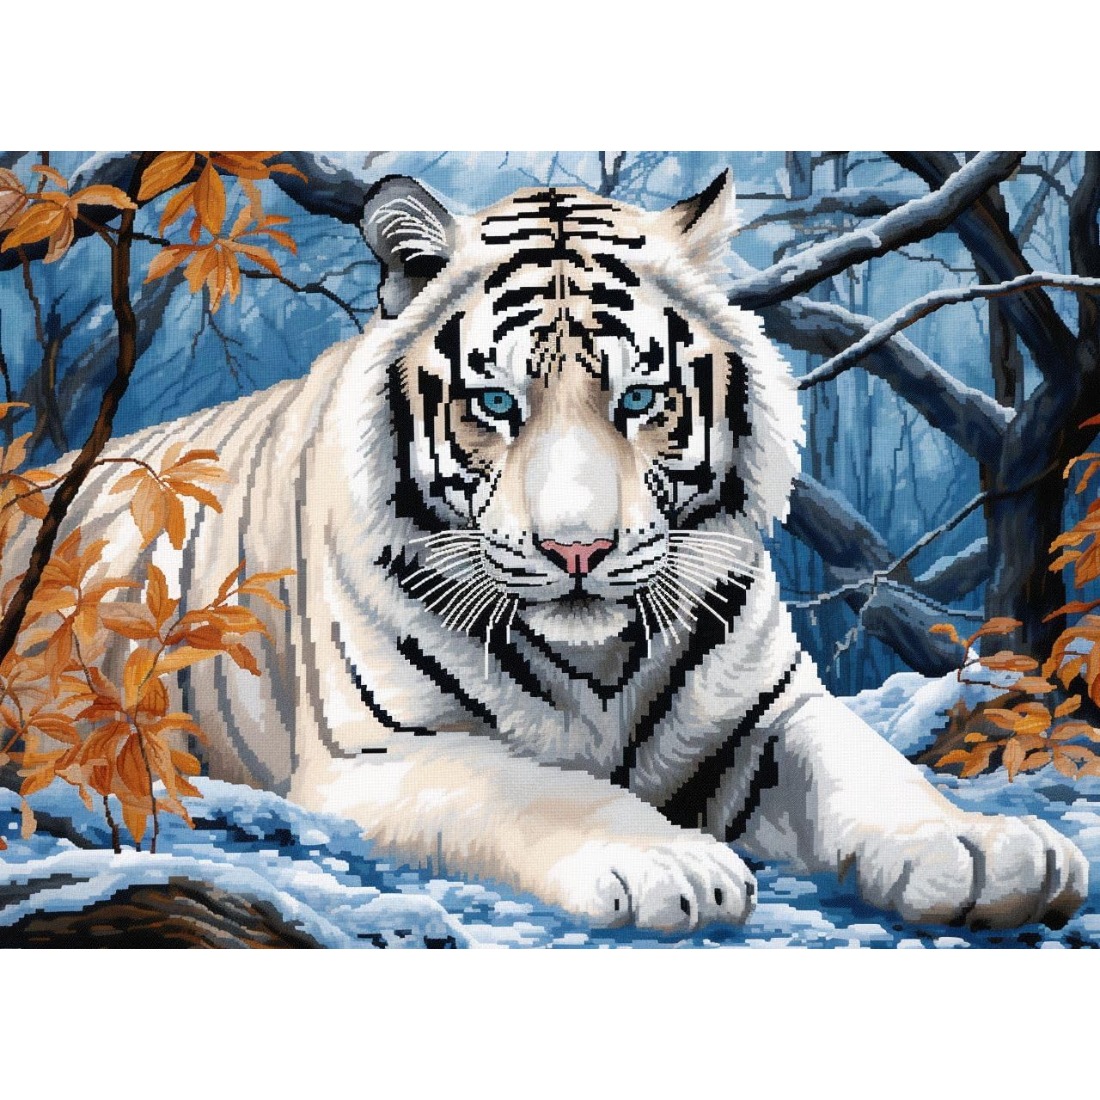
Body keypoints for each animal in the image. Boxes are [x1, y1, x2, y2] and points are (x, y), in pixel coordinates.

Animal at [21, 171, 1088, 933]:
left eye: (640, 398)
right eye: (496, 403)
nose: (578, 549)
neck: (600, 661)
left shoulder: (769, 711)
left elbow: (868, 764)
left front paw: (983, 851)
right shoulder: (383, 754)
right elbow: (539, 786)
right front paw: (668, 861)